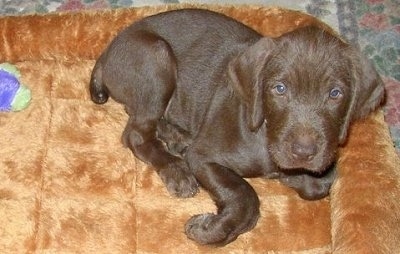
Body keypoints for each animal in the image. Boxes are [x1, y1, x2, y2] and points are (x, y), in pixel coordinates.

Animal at [90, 8, 384, 245]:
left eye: (335, 94)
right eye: (279, 88)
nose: (303, 153)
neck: (265, 132)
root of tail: (105, 55)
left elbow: (323, 183)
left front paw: (294, 177)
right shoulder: (203, 157)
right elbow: (244, 195)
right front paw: (211, 230)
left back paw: (177, 137)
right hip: (157, 58)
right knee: (136, 134)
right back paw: (175, 168)